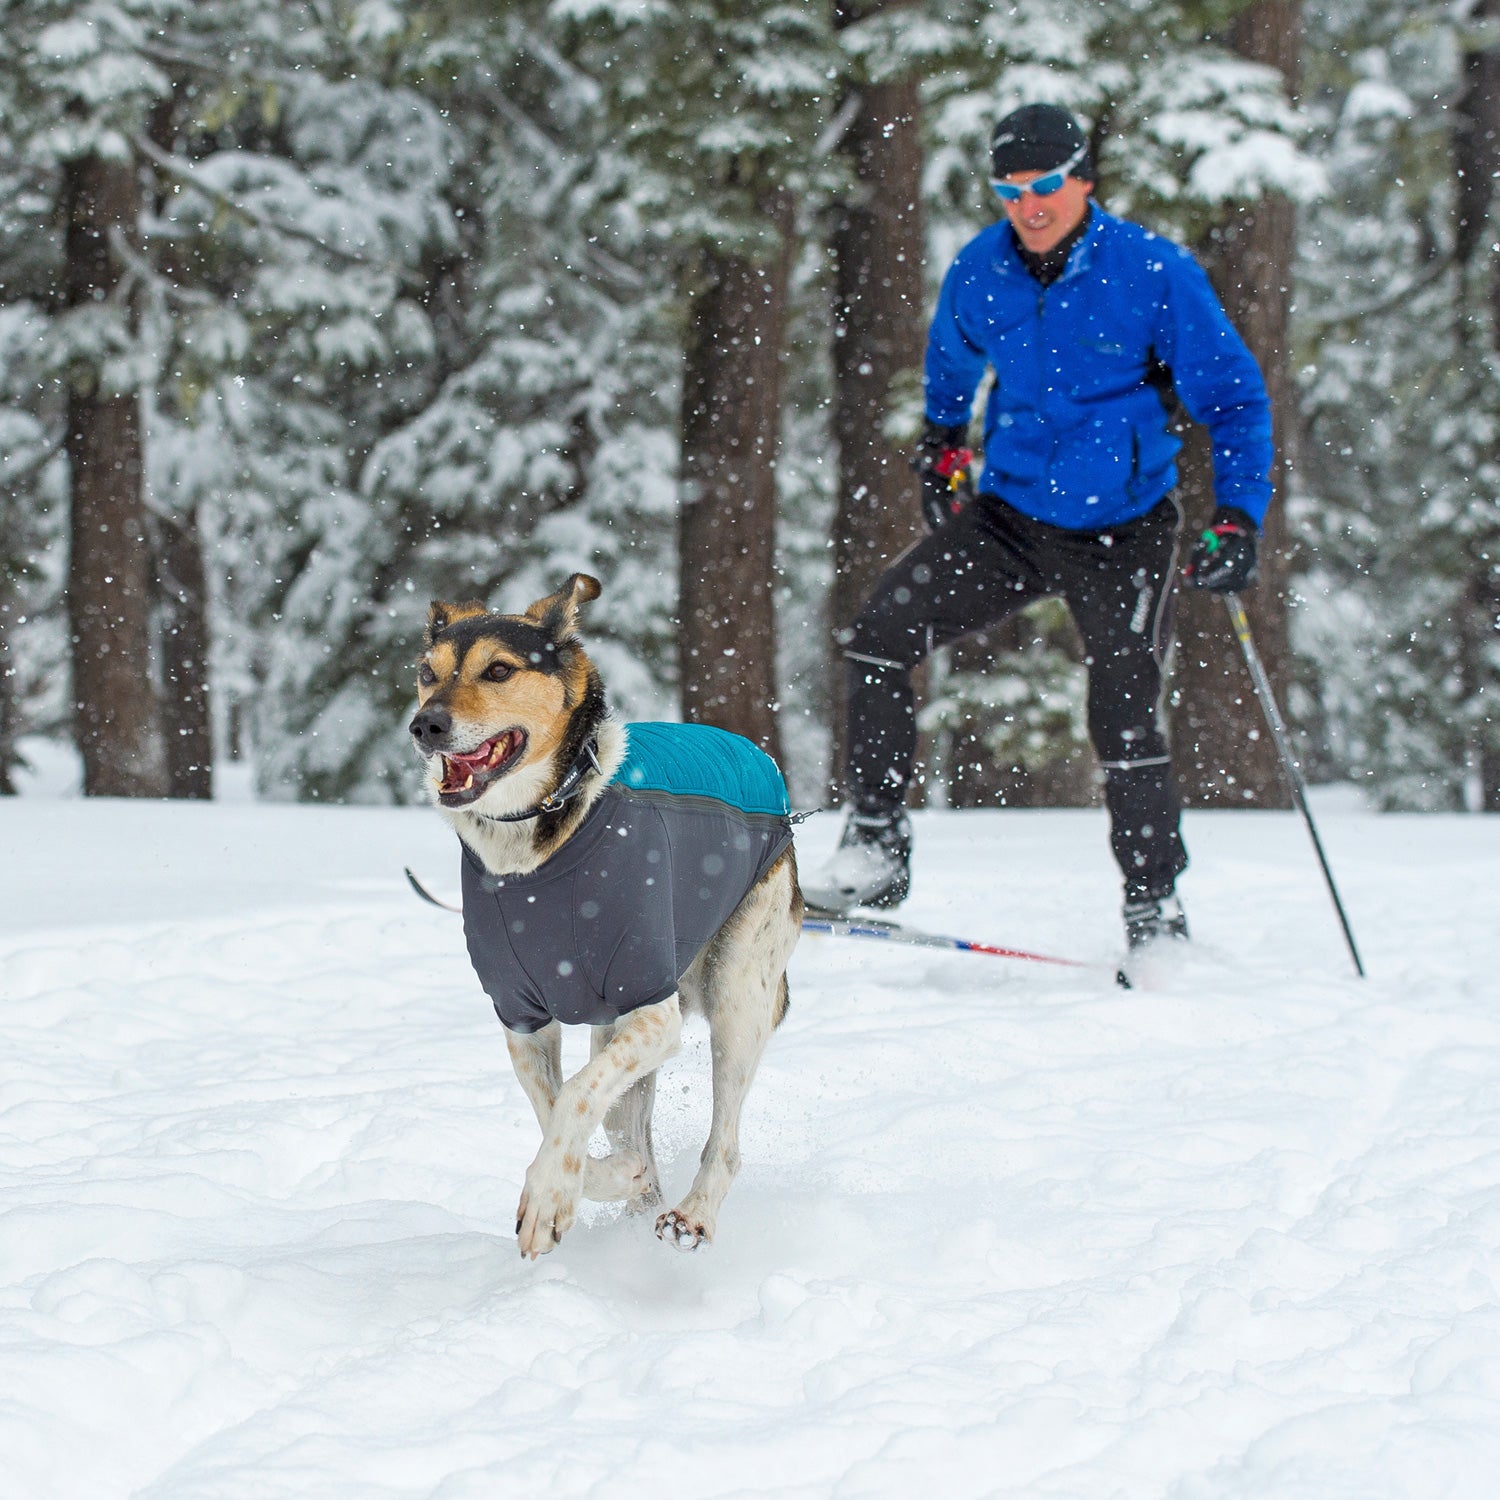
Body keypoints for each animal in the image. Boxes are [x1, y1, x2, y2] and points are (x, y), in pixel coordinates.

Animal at [405, 573, 804, 1254]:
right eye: (427, 673)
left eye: (499, 670)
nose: (424, 725)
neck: (536, 846)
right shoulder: (523, 1019)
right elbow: (555, 1112)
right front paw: (605, 1177)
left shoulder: (650, 1010)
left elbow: (574, 1098)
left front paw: (548, 1196)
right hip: (614, 1030)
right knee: (629, 1124)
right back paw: (640, 1192)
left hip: (737, 996)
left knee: (724, 1140)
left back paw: (693, 1212)